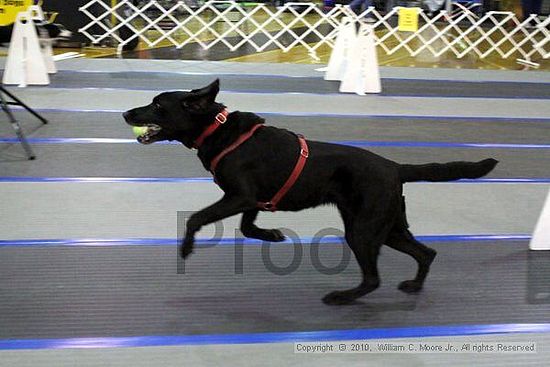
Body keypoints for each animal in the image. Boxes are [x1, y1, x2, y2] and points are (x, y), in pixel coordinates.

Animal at [125, 80, 500, 304]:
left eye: (157, 105)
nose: (127, 112)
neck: (220, 132)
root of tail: (395, 166)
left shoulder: (240, 196)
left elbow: (196, 218)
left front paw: (186, 248)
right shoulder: (251, 199)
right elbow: (247, 227)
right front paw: (273, 235)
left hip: (364, 229)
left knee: (374, 278)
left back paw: (342, 297)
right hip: (387, 225)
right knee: (426, 253)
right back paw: (414, 286)